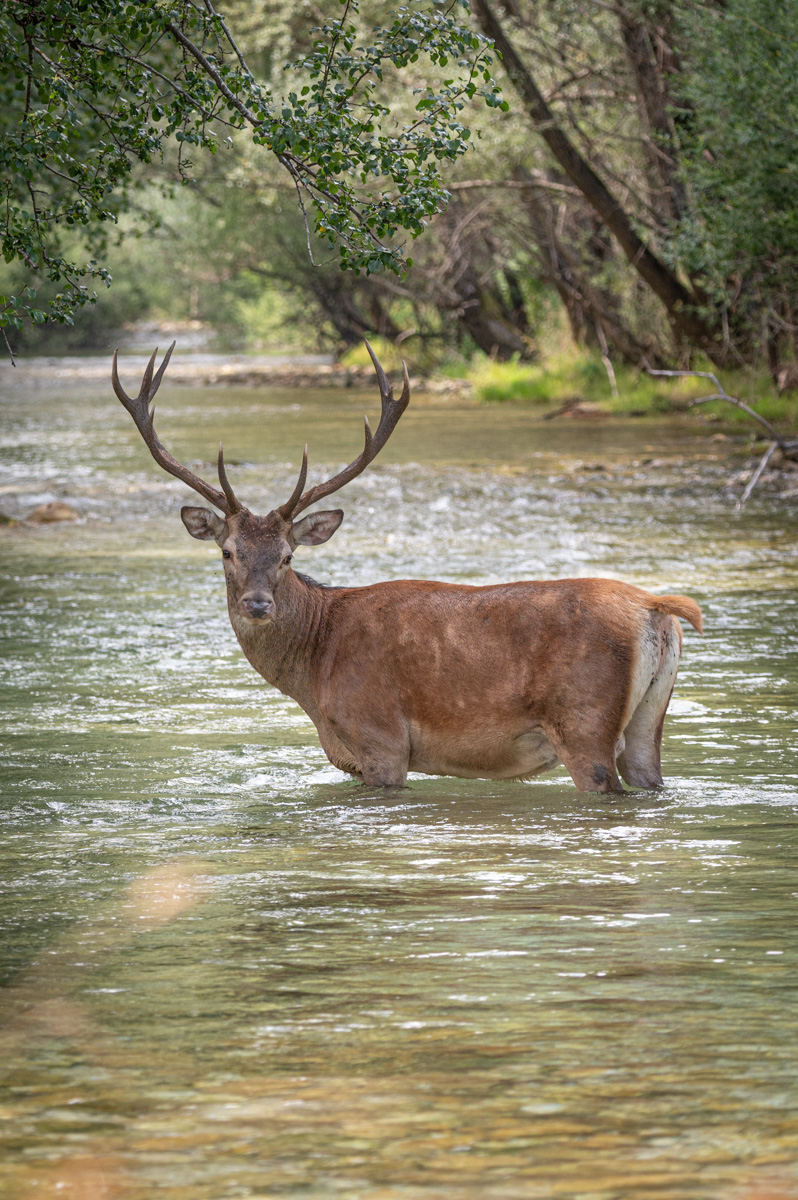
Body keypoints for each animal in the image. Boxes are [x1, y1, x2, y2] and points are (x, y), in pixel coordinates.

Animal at [113, 340, 705, 796]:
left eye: (287, 556)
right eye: (228, 551)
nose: (257, 604)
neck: (315, 670)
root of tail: (656, 608)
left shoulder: (381, 740)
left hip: (585, 723)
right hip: (648, 721)